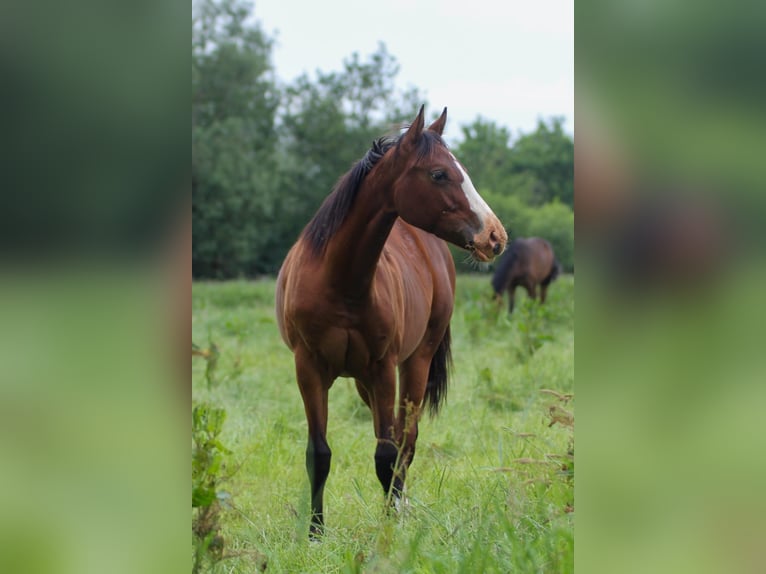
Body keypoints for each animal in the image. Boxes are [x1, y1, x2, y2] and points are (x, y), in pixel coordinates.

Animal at [275, 106, 507, 537]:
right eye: (439, 173)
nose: (495, 236)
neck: (341, 281)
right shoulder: (308, 369)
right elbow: (319, 453)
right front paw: (315, 533)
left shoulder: (383, 368)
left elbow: (387, 453)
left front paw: (390, 528)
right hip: (362, 381)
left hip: (414, 362)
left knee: (405, 440)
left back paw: (400, 508)